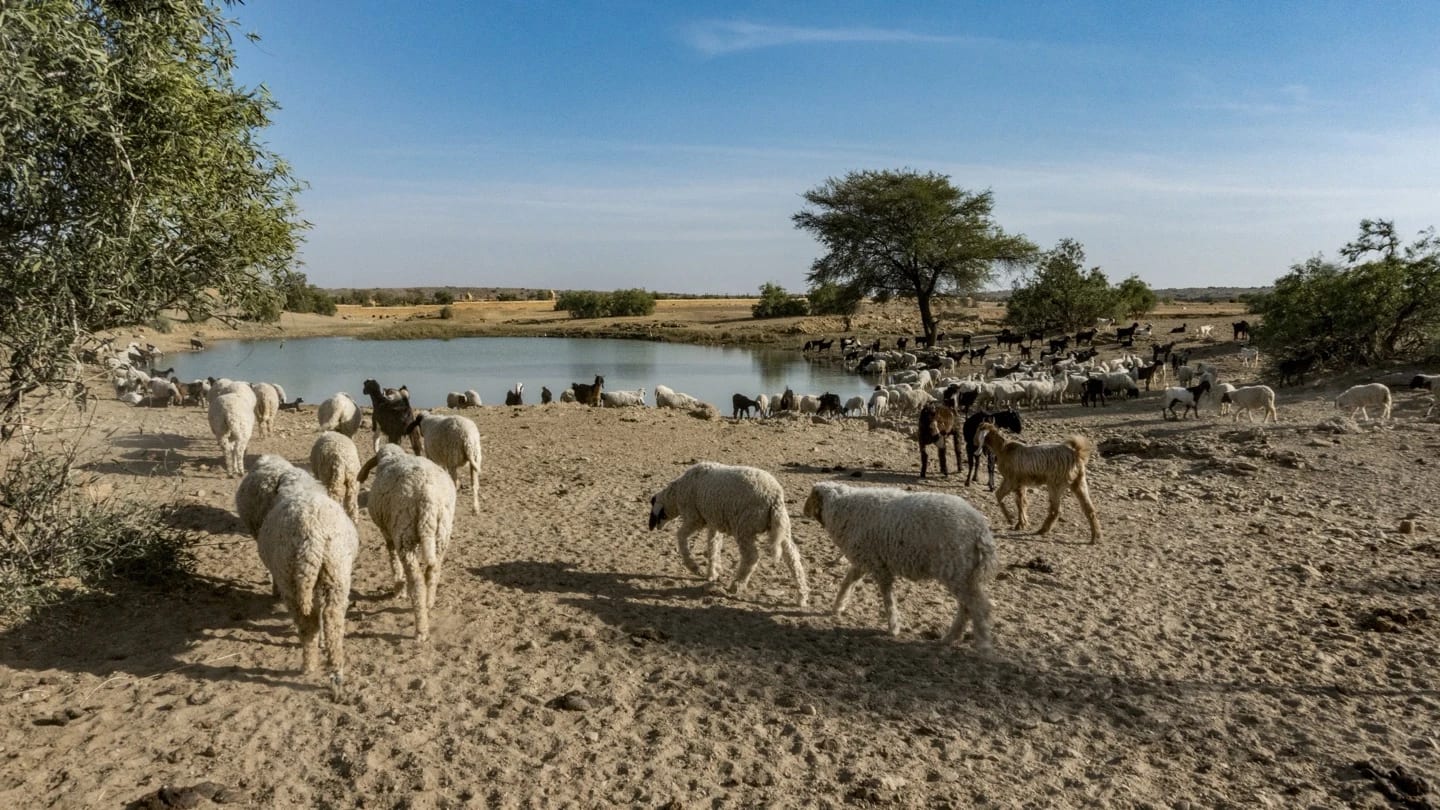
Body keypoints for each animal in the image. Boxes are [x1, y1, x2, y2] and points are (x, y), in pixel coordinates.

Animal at [358, 444, 458, 641]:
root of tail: (428, 496)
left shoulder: (388, 532)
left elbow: (393, 559)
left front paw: (398, 588)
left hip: (405, 533)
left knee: (417, 580)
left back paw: (421, 629)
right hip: (441, 533)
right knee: (433, 571)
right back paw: (429, 603)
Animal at [647, 462, 809, 607]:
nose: (652, 527)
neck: (676, 494)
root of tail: (775, 497)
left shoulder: (695, 518)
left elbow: (680, 536)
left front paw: (694, 567)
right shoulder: (713, 522)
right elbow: (713, 546)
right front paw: (712, 573)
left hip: (744, 527)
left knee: (752, 557)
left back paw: (735, 586)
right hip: (781, 529)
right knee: (793, 557)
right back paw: (802, 596)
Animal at [802, 482, 997, 648]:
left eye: (811, 498)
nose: (803, 511)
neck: (843, 510)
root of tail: (980, 530)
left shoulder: (878, 566)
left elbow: (887, 597)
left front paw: (893, 627)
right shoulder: (864, 560)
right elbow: (847, 582)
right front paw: (837, 607)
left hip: (956, 570)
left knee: (979, 607)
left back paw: (982, 644)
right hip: (963, 573)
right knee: (967, 607)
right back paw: (950, 638)